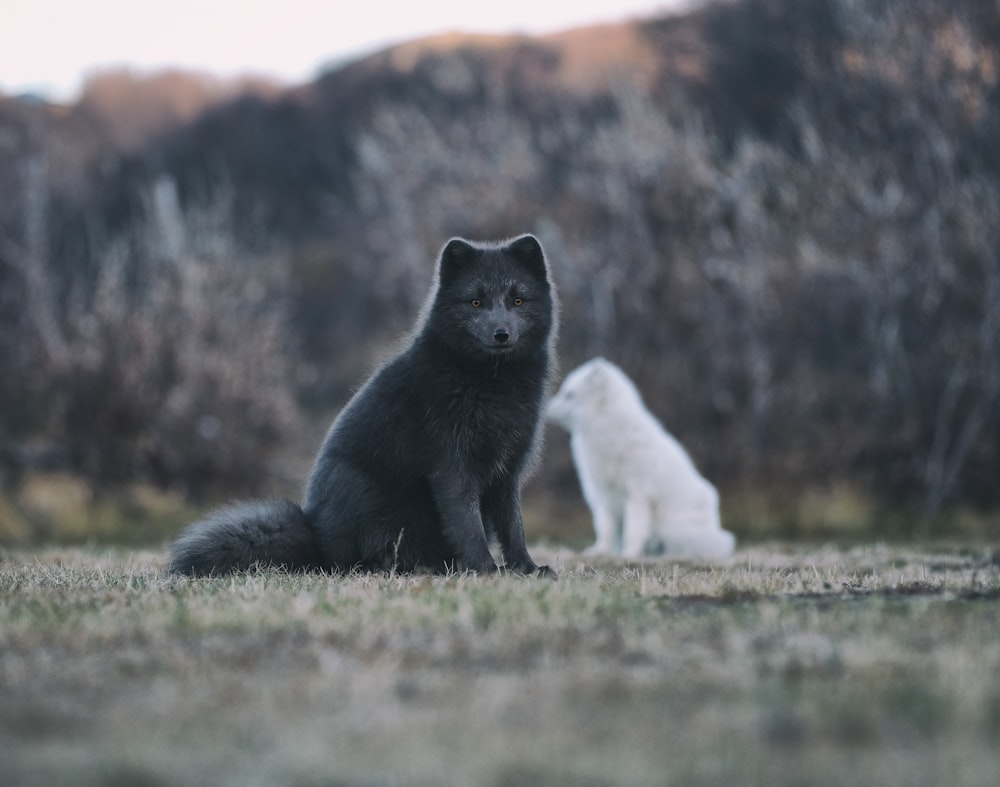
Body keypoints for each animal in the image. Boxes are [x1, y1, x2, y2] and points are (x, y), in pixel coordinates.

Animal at [169, 234, 560, 580]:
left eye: (518, 301)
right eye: (475, 302)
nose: (501, 334)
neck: (492, 383)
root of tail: (315, 542)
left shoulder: (508, 471)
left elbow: (514, 526)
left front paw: (527, 569)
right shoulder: (453, 467)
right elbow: (468, 524)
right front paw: (487, 570)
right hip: (367, 495)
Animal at [548, 358, 736, 560]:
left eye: (569, 395)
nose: (545, 409)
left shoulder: (638, 495)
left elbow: (634, 530)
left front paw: (628, 555)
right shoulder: (604, 496)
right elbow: (605, 530)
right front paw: (601, 552)